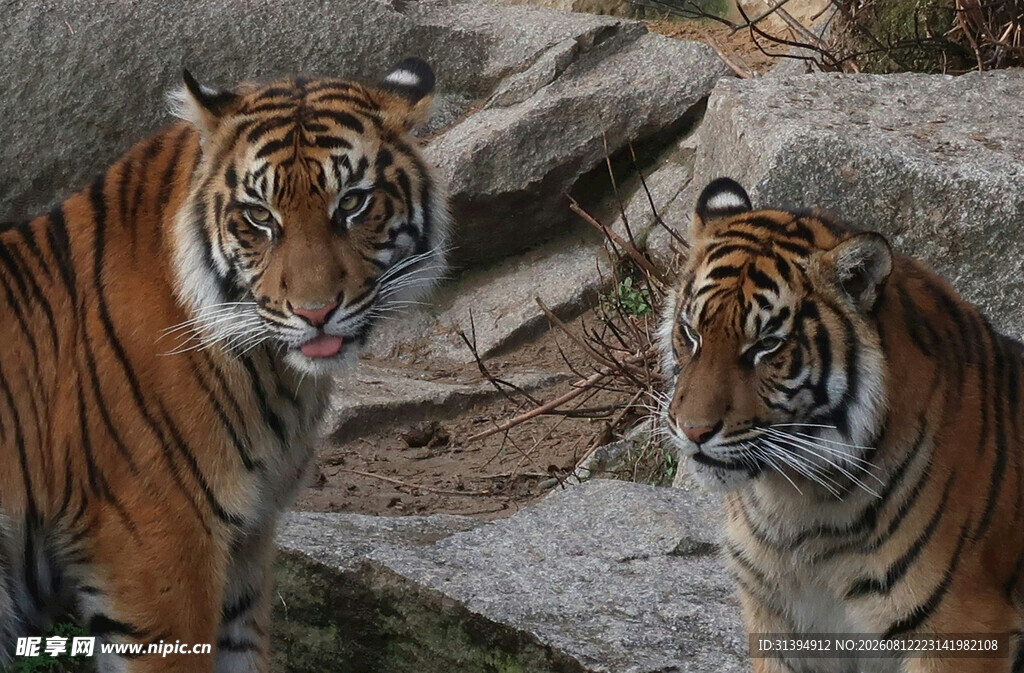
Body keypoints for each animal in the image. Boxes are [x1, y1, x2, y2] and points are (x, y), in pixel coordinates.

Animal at [0, 57, 448, 672]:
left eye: (353, 203)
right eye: (259, 216)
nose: (315, 313)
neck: (275, 375)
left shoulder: (246, 541)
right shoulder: (158, 548)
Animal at [659, 177, 1024, 672]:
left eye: (767, 345)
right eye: (691, 333)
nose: (693, 431)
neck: (796, 510)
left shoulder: (962, 626)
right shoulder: (778, 619)